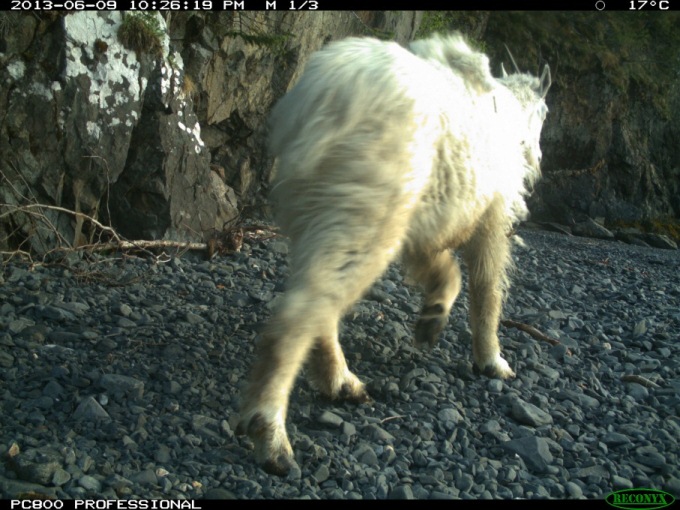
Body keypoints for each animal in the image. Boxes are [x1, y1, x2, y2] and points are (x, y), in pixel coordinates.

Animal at [236, 33, 548, 476]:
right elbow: (487, 288)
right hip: (366, 209)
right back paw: (272, 433)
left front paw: (432, 319)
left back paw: (340, 382)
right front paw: (492, 361)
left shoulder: (423, 224)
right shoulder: (492, 214)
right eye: (546, 113)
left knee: (318, 298)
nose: (537, 162)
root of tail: (319, 99)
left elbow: (441, 269)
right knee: (303, 311)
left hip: (322, 211)